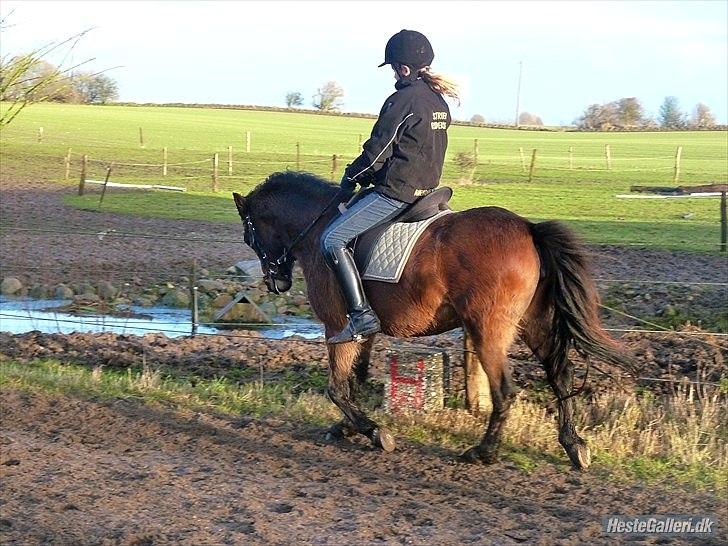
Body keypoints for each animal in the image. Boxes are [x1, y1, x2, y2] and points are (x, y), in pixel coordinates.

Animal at [232, 171, 633, 470]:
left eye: (249, 235)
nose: (276, 282)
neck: (320, 227)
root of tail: (528, 229)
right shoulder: (362, 330)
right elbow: (355, 381)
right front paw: (347, 427)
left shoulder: (336, 327)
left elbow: (336, 387)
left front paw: (373, 432)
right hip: (532, 323)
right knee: (559, 374)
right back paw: (574, 445)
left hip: (488, 329)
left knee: (505, 391)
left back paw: (483, 453)